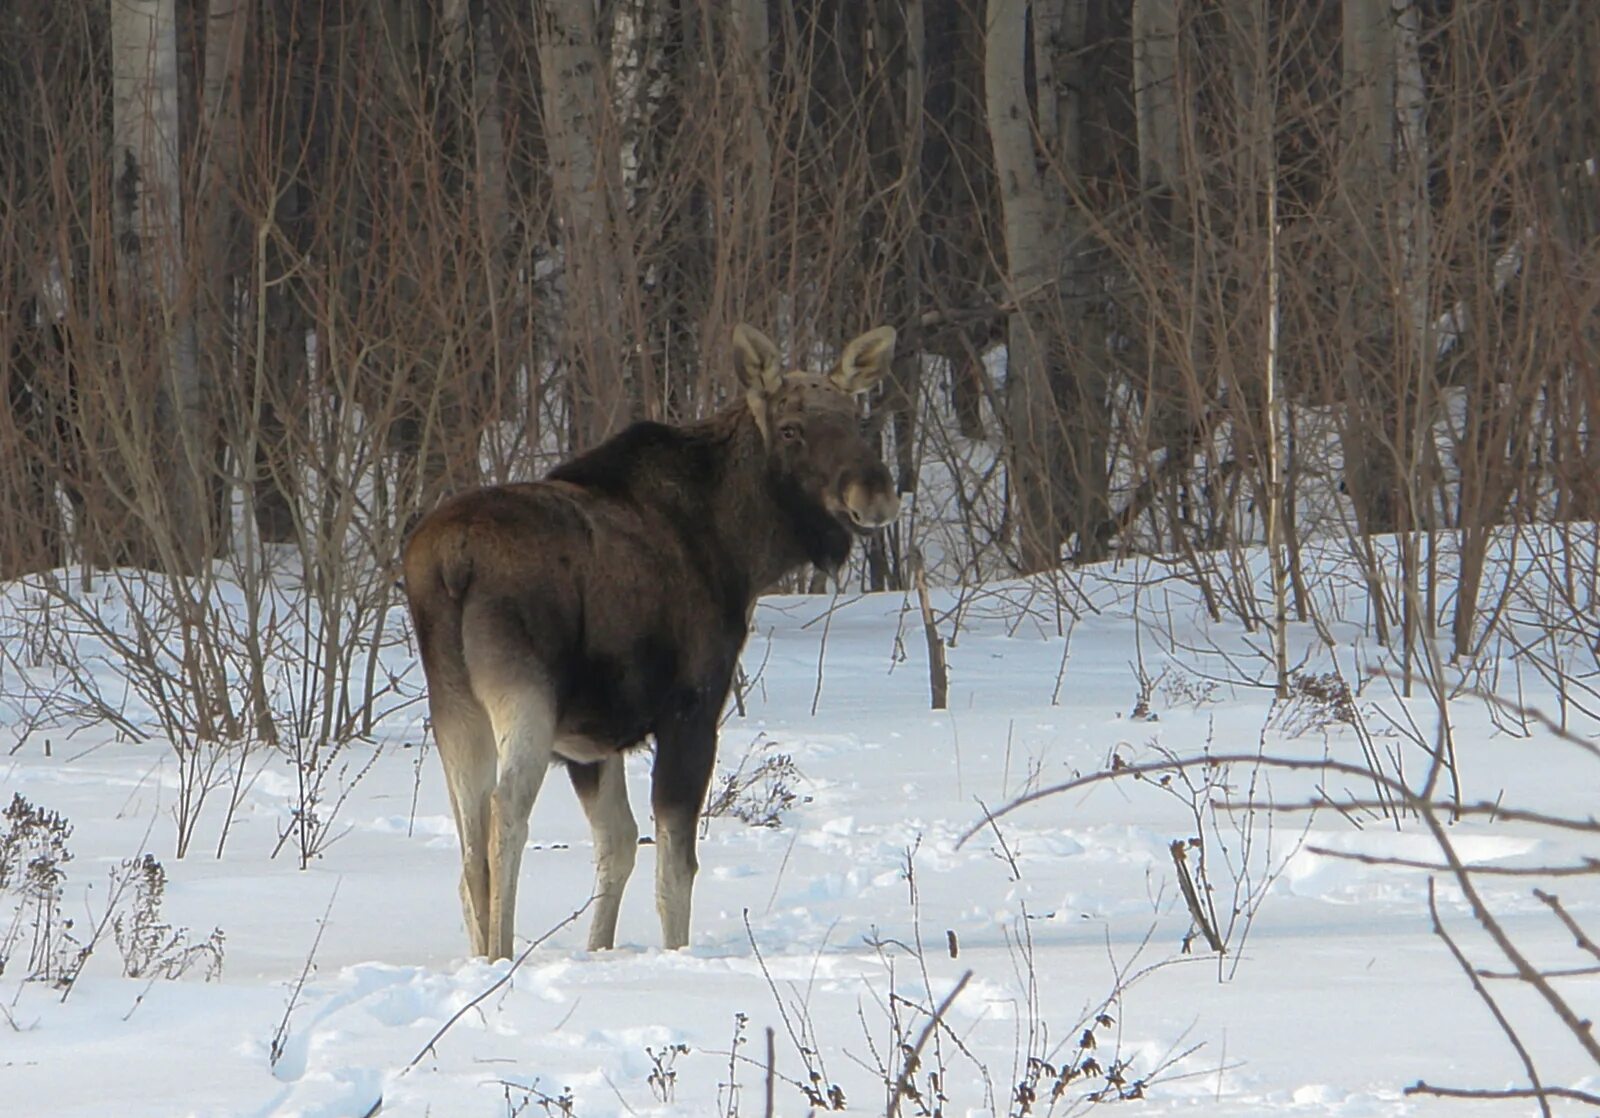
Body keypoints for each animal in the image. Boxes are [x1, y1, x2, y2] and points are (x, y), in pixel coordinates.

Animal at [400, 319, 902, 959]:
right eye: (792, 429)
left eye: (856, 419)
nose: (876, 493)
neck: (746, 550)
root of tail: (449, 564)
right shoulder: (691, 708)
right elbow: (675, 865)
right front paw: (676, 956)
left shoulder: (592, 742)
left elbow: (618, 844)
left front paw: (599, 952)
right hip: (523, 693)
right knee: (503, 814)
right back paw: (503, 954)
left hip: (454, 706)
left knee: (469, 847)